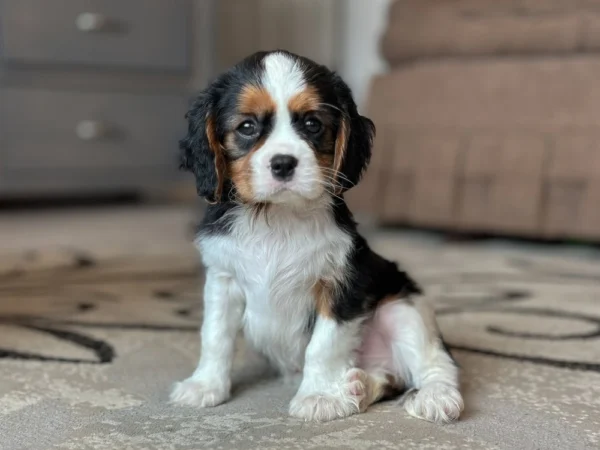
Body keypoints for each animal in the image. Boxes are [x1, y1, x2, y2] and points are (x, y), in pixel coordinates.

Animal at [170, 50, 464, 422]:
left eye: (313, 124)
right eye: (247, 127)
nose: (283, 163)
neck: (278, 217)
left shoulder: (341, 283)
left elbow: (324, 346)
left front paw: (319, 396)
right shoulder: (223, 281)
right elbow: (215, 337)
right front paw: (205, 386)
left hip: (404, 309)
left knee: (436, 364)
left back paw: (434, 396)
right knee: (388, 378)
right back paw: (357, 386)